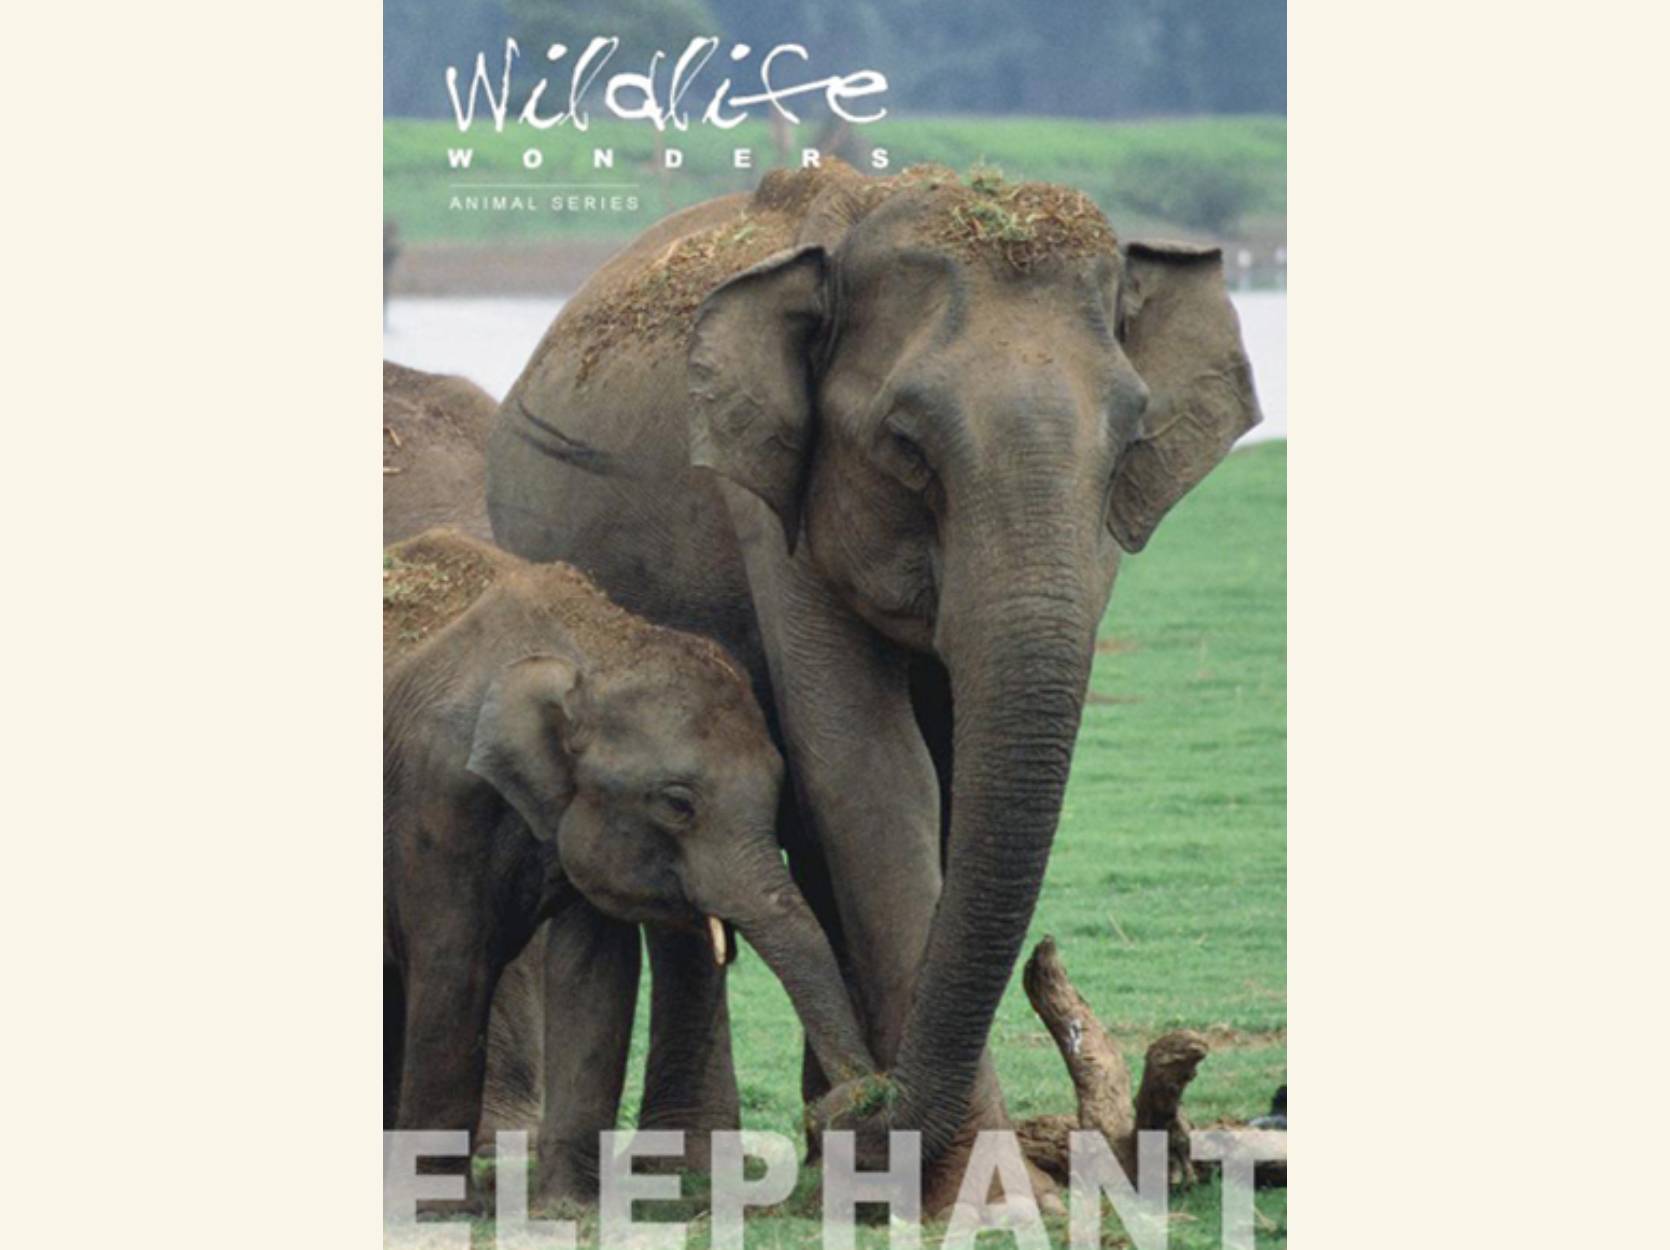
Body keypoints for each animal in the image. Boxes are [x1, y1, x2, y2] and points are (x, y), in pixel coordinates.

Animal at [382, 528, 875, 1204]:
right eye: (676, 804)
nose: (854, 1100)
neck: (596, 647)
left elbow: (597, 974)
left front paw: (566, 1209)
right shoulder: (437, 794)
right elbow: (454, 966)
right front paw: (438, 1212)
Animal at [484, 160, 1260, 1209]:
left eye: (1131, 439)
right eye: (906, 443)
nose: (861, 1105)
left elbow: (947, 782)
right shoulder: (771, 500)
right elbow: (870, 767)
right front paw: (982, 1194)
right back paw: (705, 1165)